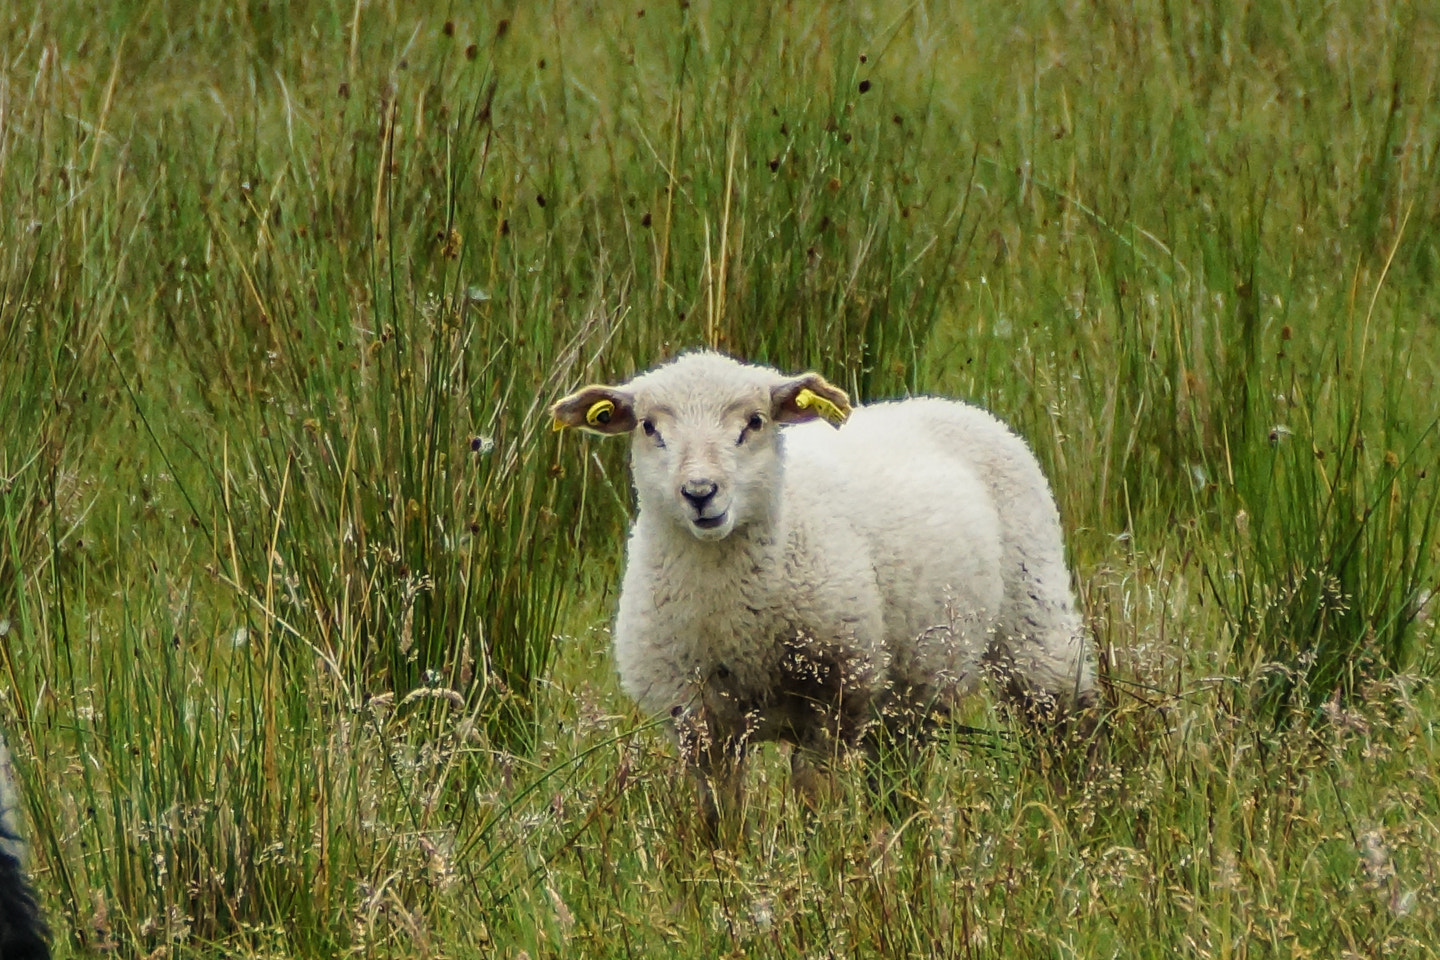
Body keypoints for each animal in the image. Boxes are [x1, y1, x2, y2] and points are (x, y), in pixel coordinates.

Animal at [551, 351, 1095, 828]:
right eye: (649, 427)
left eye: (754, 422)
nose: (700, 494)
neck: (732, 618)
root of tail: (948, 404)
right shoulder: (696, 722)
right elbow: (720, 819)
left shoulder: (836, 693)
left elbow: (815, 800)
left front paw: (823, 861)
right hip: (908, 691)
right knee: (899, 777)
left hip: (1034, 614)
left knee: (1067, 719)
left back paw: (1080, 812)